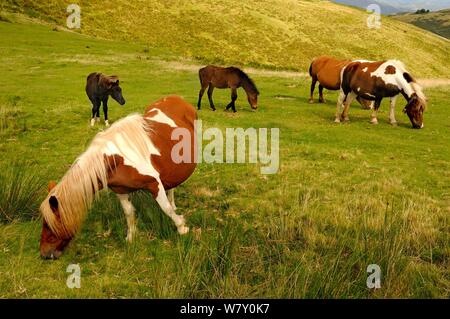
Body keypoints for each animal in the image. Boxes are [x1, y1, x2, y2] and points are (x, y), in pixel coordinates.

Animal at [40, 95, 197, 260]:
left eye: (49, 225)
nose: (44, 254)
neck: (116, 159)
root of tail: (176, 98)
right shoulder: (120, 190)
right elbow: (128, 212)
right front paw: (131, 237)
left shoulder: (155, 184)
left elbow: (165, 208)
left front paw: (181, 227)